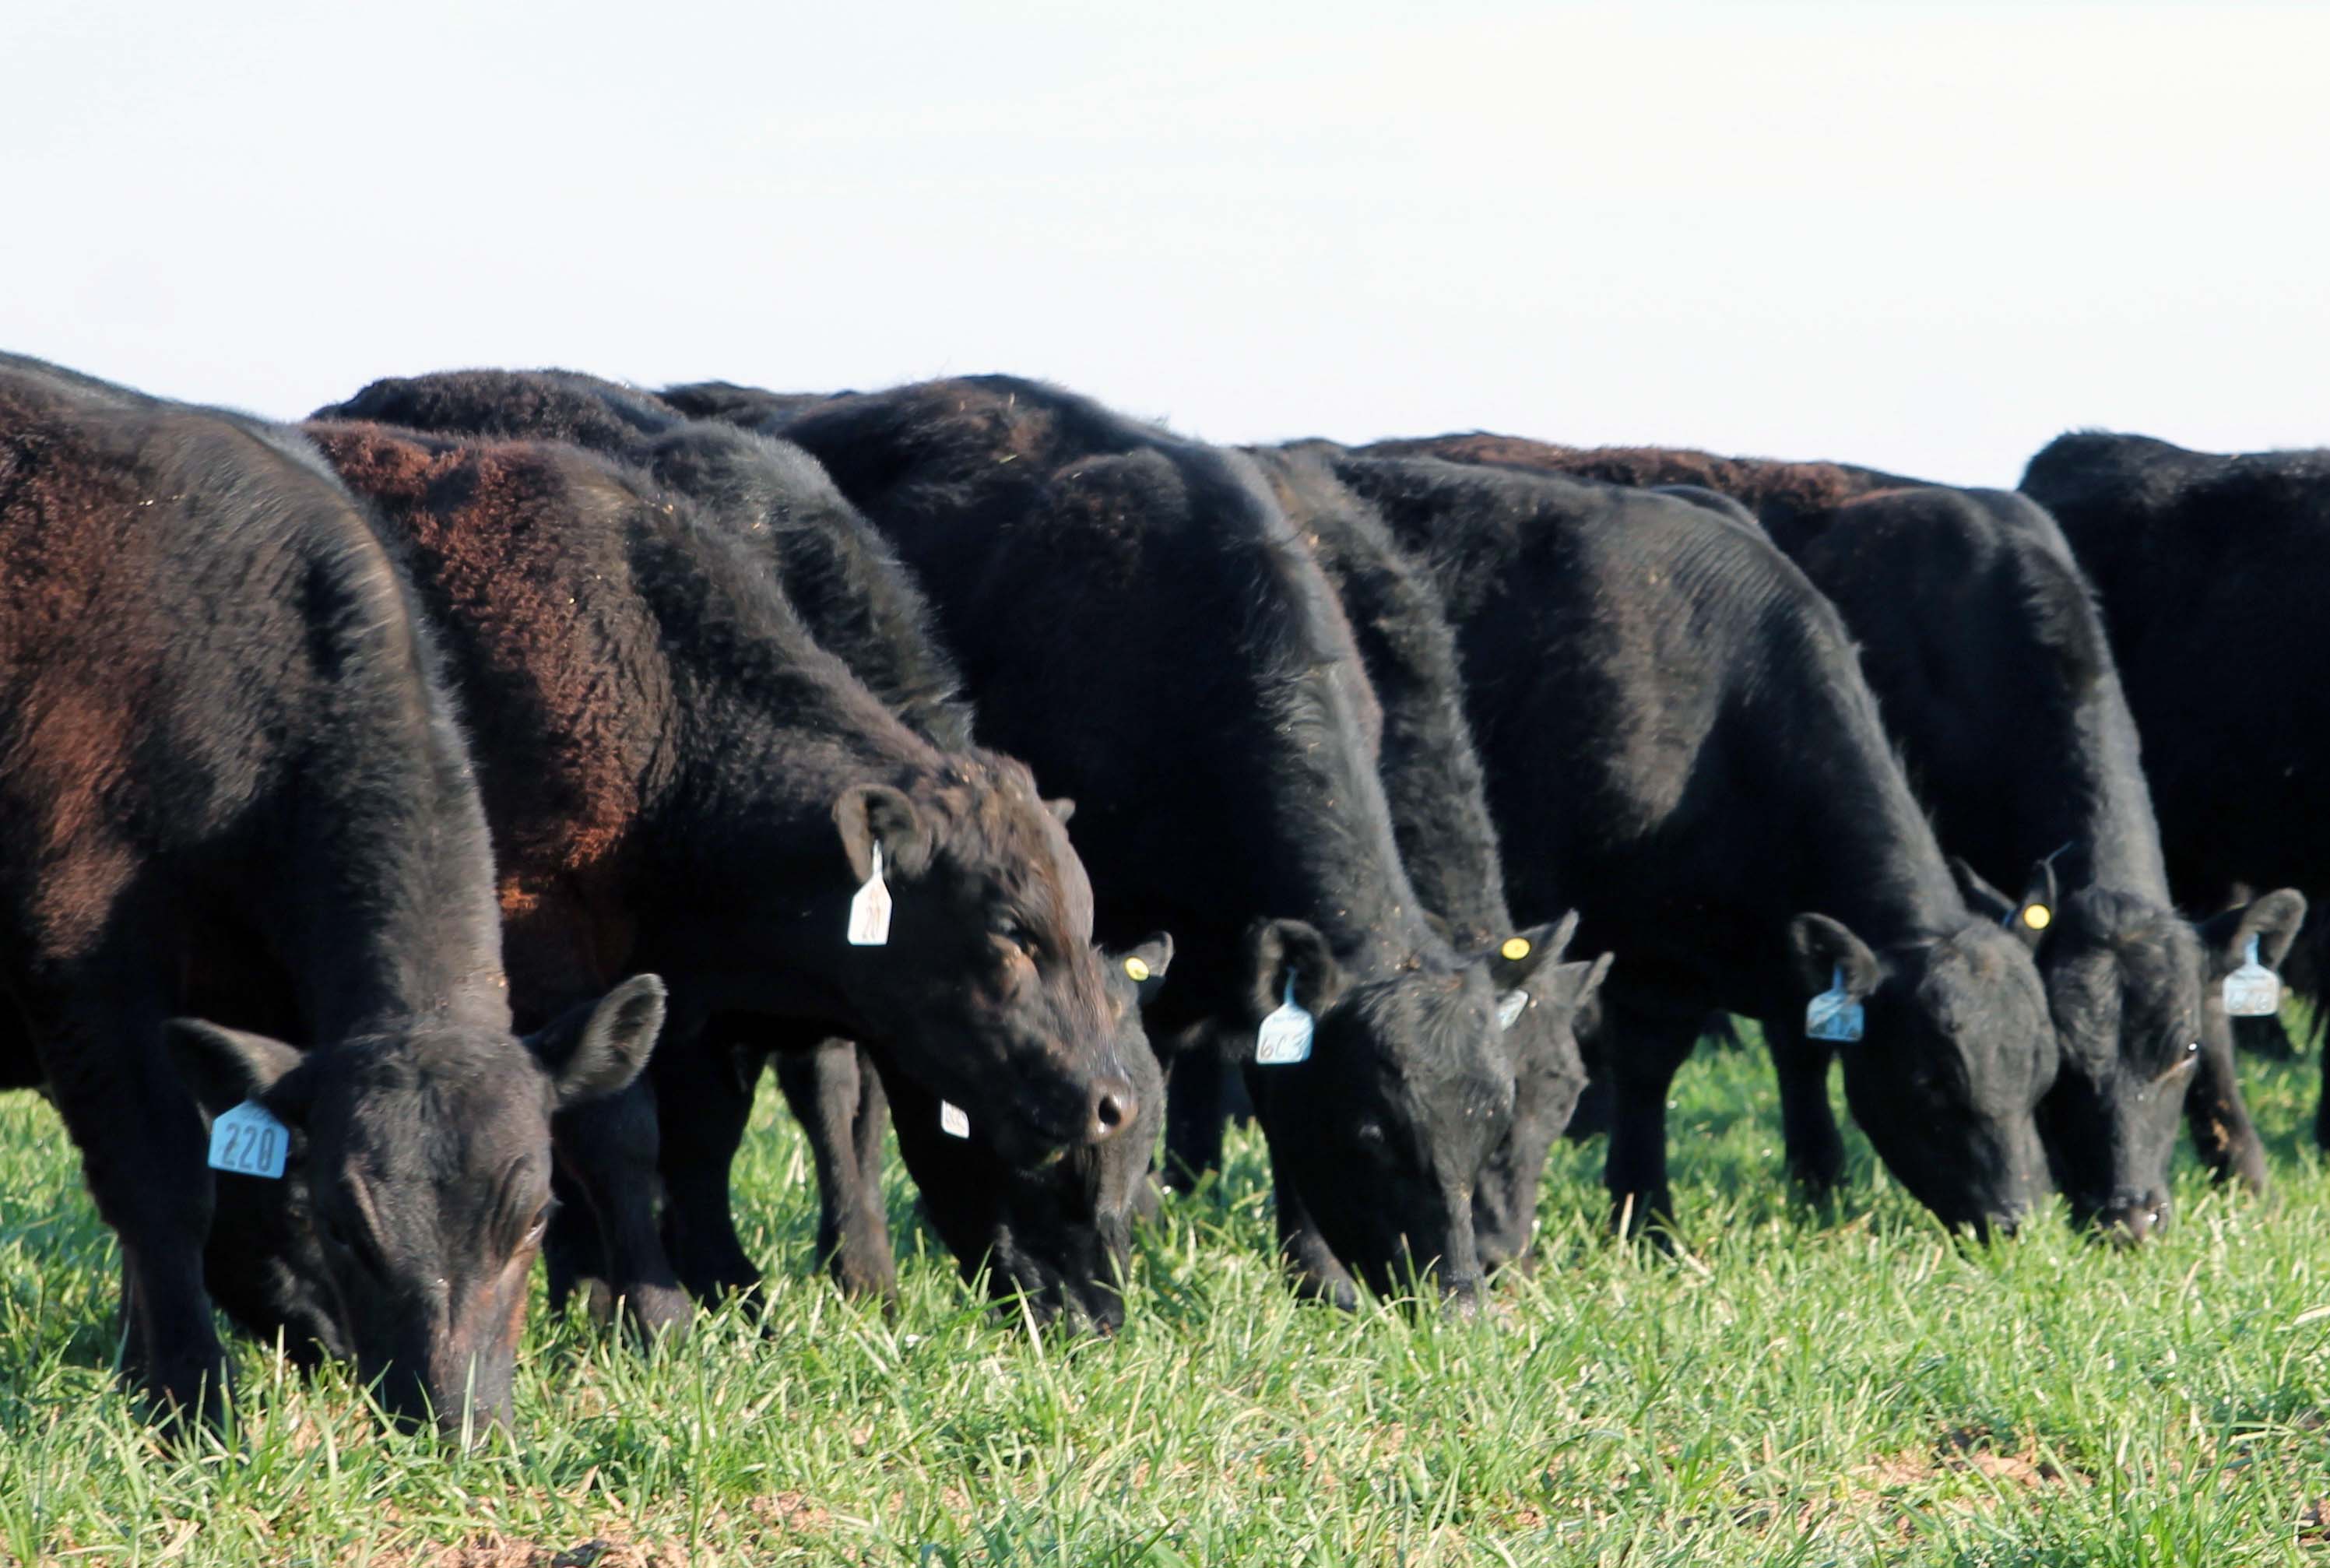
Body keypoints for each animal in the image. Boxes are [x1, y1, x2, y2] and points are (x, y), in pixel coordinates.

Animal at [0, 353, 666, 1435]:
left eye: (534, 1219)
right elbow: (159, 1181)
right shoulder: (78, 958)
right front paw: (192, 1400)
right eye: (349, 1226)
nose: (456, 1424)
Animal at [1332, 452, 2059, 1239]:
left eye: (2043, 1071)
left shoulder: (1786, 954)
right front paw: (1644, 1213)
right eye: (1932, 1081)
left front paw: (1819, 1187)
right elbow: (1647, 1069)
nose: (2018, 1219)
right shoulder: (1642, 953)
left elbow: (1802, 1052)